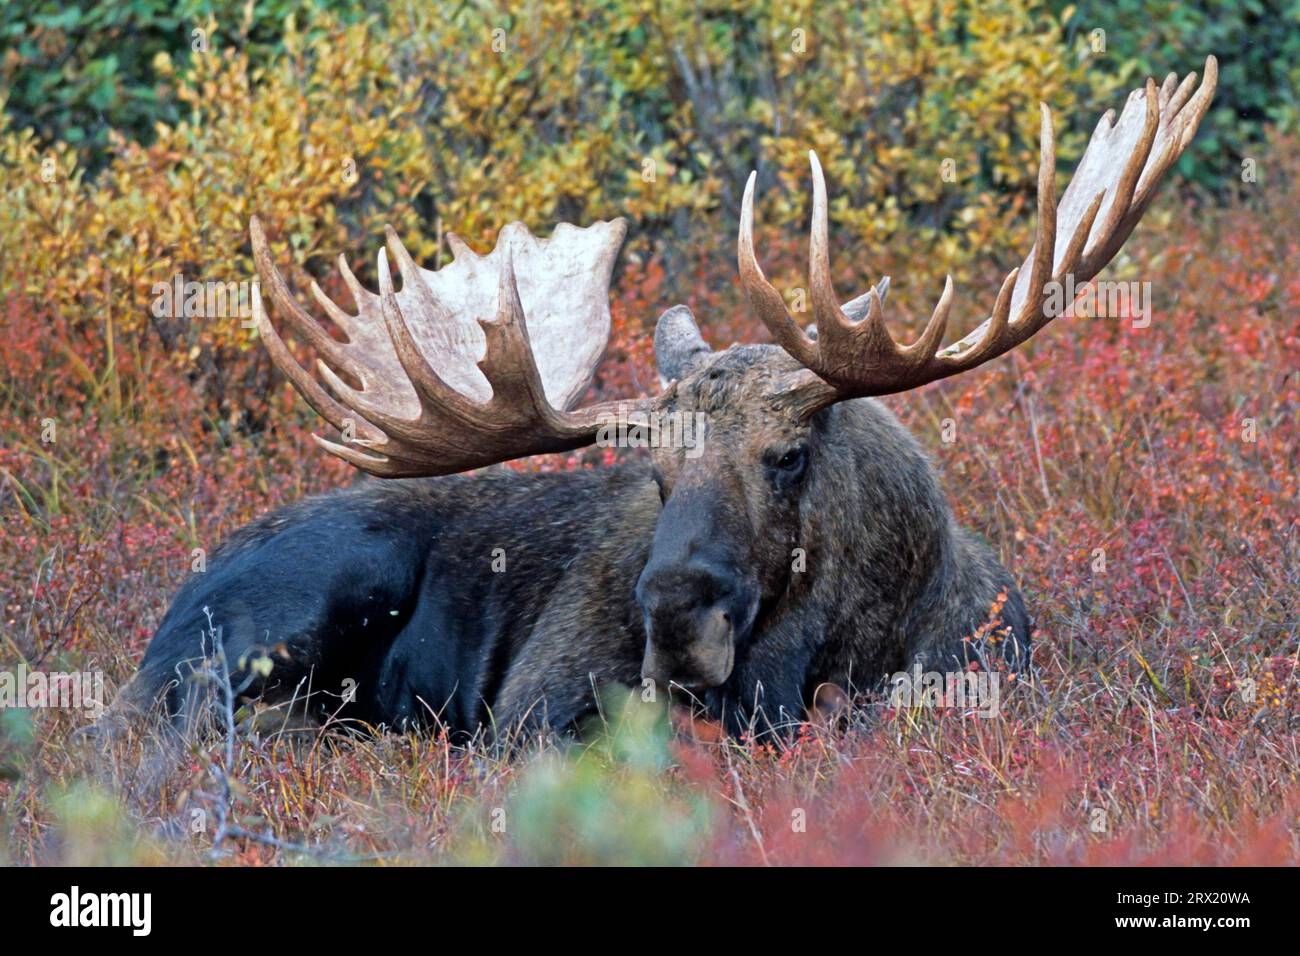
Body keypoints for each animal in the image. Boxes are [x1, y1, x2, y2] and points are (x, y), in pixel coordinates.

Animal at [114, 59, 1216, 743]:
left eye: (788, 454)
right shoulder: (534, 709)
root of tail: (170, 611)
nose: (676, 620)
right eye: (651, 471)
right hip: (294, 605)